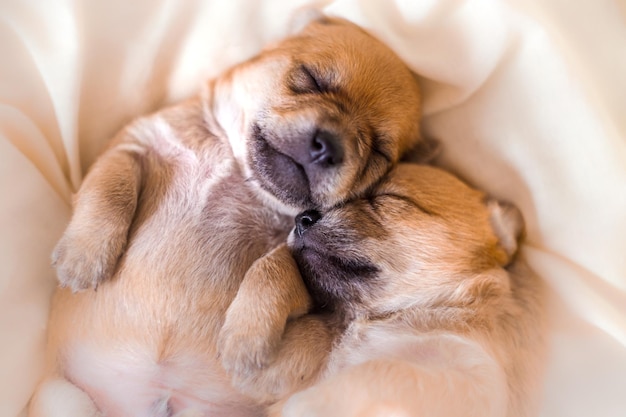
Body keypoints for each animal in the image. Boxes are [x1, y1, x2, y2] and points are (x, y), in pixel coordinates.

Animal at [28, 15, 420, 416]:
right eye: (311, 78)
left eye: (378, 152)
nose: (329, 147)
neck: (236, 167)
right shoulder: (133, 144)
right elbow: (111, 184)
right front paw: (83, 257)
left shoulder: (299, 248)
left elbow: (275, 267)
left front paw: (246, 338)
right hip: (61, 397)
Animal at [222, 162, 544, 416]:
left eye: (389, 197)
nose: (302, 216)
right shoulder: (275, 375)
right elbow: (275, 260)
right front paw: (245, 333)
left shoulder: (472, 379)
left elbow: (382, 371)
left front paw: (306, 404)